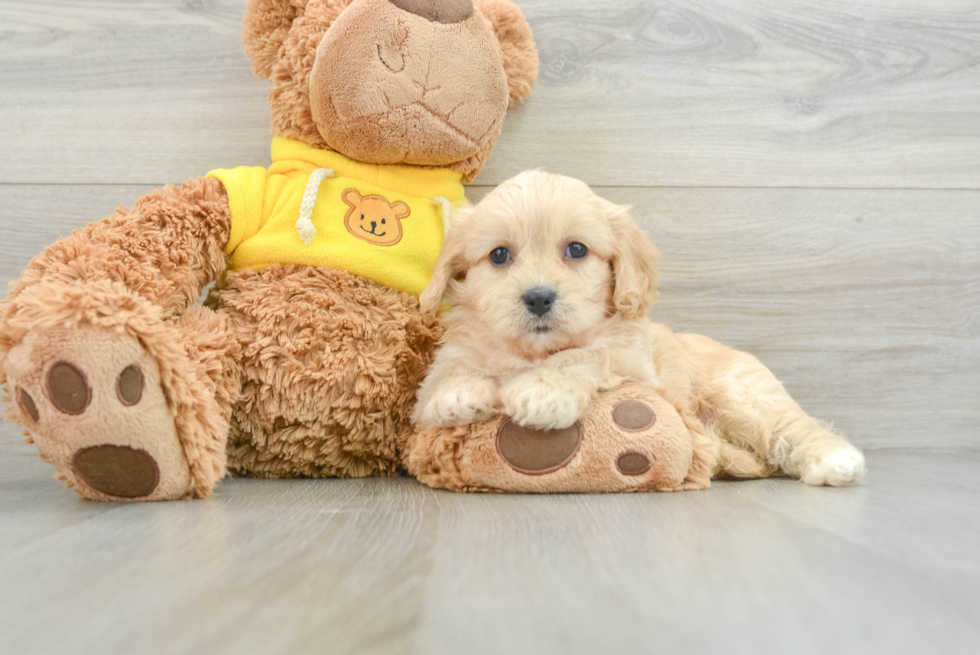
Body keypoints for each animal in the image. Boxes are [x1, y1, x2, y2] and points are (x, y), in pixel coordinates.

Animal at [414, 170, 864, 486]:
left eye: (576, 249)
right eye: (498, 255)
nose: (539, 298)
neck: (534, 350)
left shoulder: (631, 361)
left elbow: (582, 355)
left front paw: (543, 392)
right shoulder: (463, 345)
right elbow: (451, 367)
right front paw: (456, 392)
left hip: (740, 396)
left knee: (790, 426)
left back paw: (832, 459)